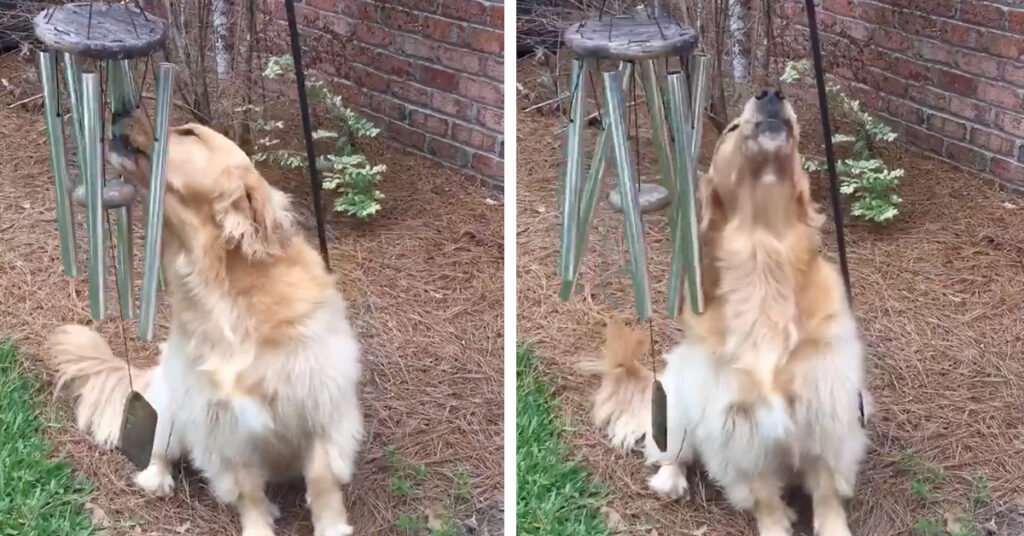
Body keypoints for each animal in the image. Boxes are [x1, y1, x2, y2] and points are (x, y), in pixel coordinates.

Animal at [46, 112, 362, 536]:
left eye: (189, 132)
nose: (119, 115)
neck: (223, 286)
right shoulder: (223, 424)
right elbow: (248, 490)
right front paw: (259, 525)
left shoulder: (319, 405)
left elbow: (323, 481)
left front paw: (332, 526)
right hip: (170, 410)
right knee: (159, 450)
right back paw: (156, 478)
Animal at [593, 90, 872, 532]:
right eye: (731, 128)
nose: (771, 93)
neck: (765, 257)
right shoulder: (738, 426)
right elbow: (764, 497)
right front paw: (776, 524)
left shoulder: (829, 411)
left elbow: (827, 488)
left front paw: (832, 526)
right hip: (675, 401)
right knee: (672, 451)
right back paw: (670, 480)